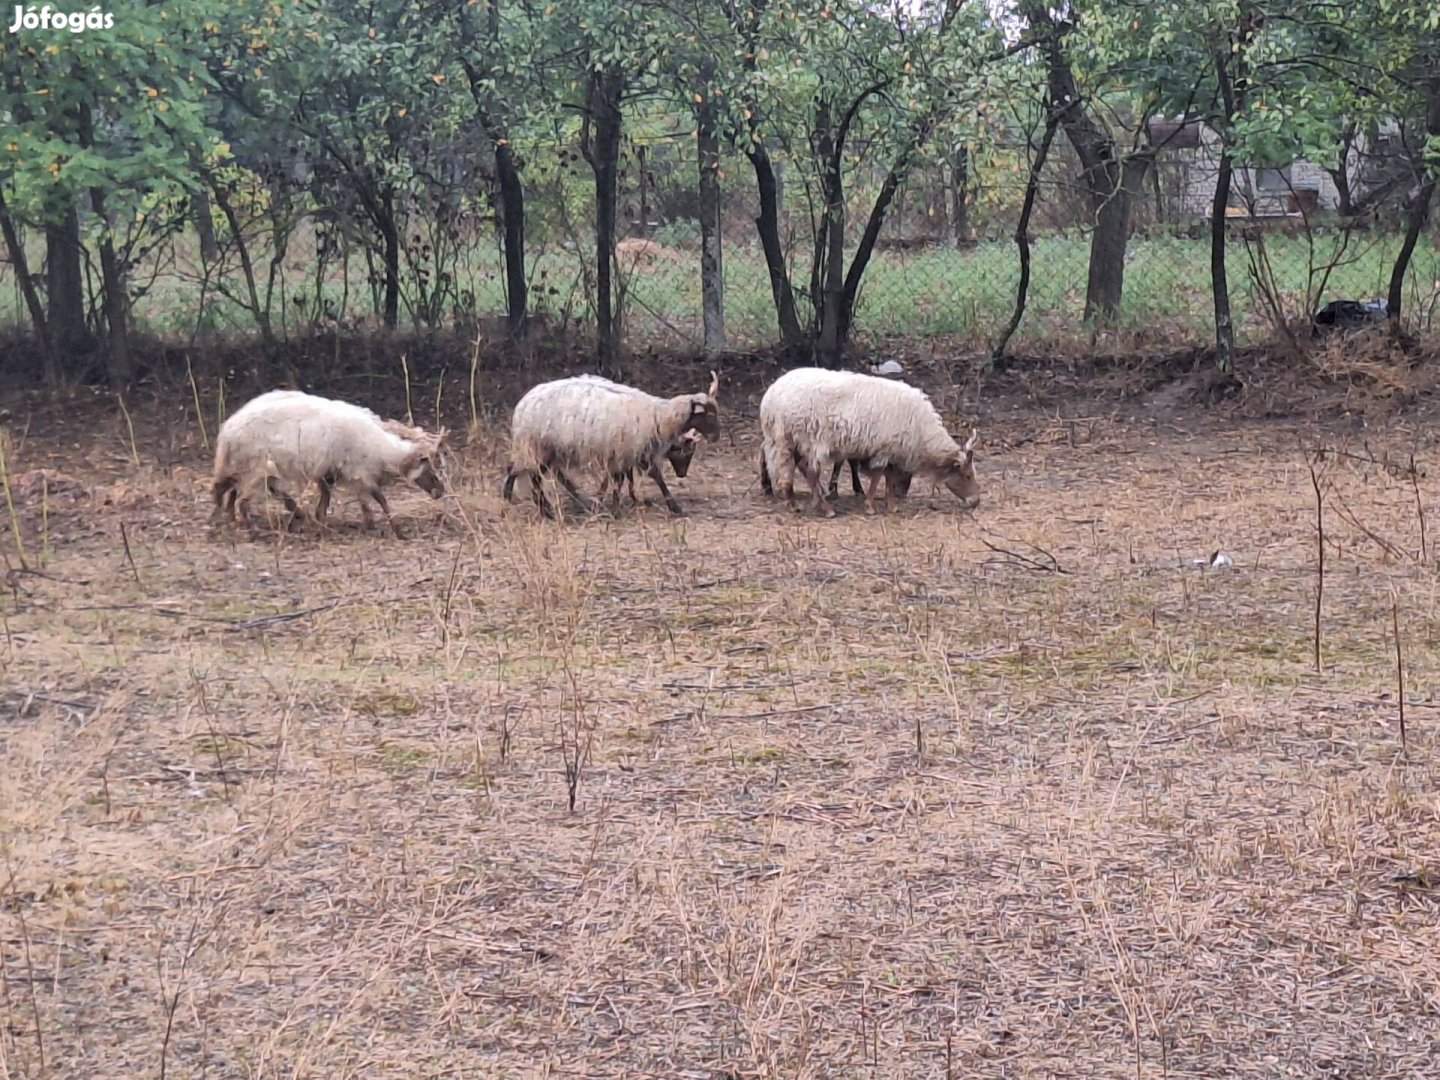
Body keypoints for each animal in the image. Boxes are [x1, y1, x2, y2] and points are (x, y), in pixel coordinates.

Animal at [211, 391, 443, 538]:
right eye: (428, 466)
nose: (440, 491)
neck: (382, 448)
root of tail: (228, 429)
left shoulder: (334, 473)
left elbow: (340, 500)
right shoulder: (360, 471)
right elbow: (380, 499)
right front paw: (396, 530)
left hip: (244, 468)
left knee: (229, 491)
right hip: (255, 469)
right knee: (241, 499)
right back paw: (252, 529)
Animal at [501, 377, 720, 521]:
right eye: (709, 415)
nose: (717, 436)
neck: (658, 416)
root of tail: (523, 404)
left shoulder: (626, 453)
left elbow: (621, 479)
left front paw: (611, 503)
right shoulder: (627, 451)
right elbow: (648, 477)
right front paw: (674, 507)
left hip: (544, 450)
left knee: (534, 475)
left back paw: (547, 507)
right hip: (536, 446)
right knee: (523, 473)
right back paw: (516, 503)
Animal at [754, 368, 979, 521]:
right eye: (967, 475)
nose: (976, 501)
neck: (921, 433)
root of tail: (769, 399)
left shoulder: (887, 449)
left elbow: (888, 476)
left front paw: (891, 505)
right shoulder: (883, 447)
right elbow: (879, 475)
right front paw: (870, 506)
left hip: (786, 440)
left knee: (792, 470)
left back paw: (794, 503)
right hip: (806, 439)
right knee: (807, 472)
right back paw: (825, 509)